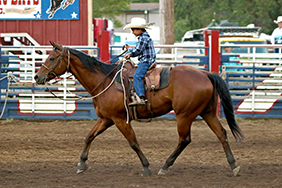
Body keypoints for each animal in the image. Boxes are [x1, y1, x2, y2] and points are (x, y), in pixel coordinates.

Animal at [34, 41, 243, 176]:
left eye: (52, 57)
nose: (37, 76)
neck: (104, 82)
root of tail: (205, 74)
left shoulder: (120, 119)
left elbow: (133, 142)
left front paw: (146, 167)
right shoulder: (106, 119)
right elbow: (89, 136)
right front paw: (81, 163)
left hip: (185, 115)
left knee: (185, 139)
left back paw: (165, 166)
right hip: (207, 112)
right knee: (222, 133)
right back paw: (233, 166)